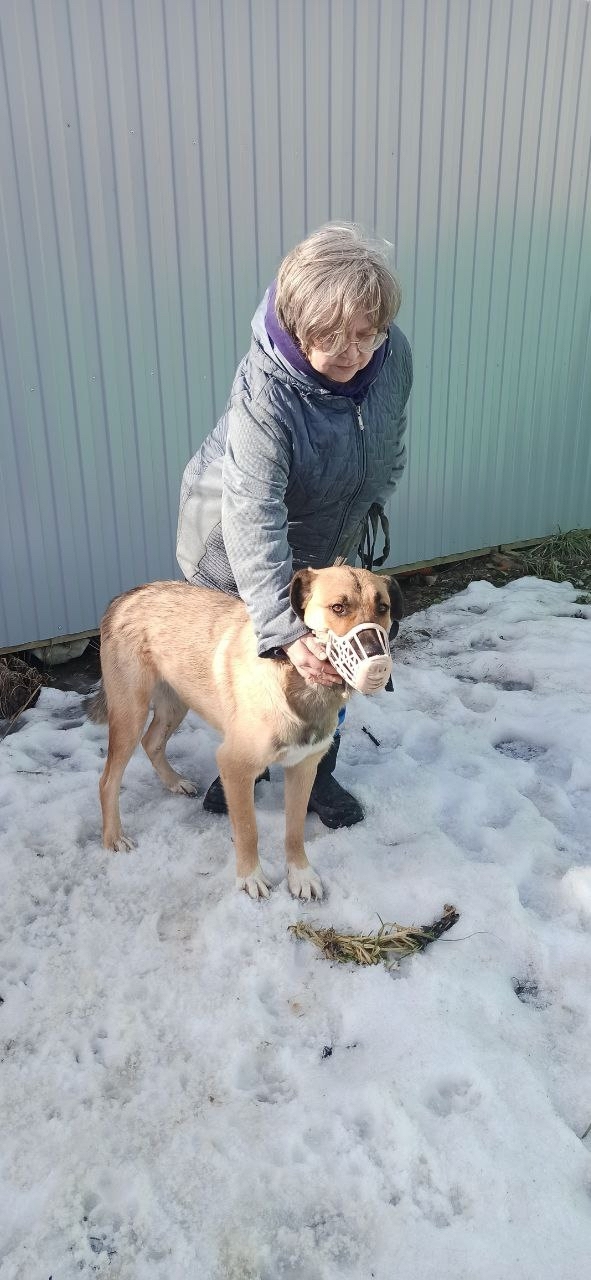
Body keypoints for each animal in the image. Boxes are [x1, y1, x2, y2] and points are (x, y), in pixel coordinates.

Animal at [89, 565, 403, 900]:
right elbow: (248, 831)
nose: (377, 663)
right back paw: (113, 837)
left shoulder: (303, 768)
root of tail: (124, 597)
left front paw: (300, 875)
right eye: (338, 608)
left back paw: (175, 782)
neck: (298, 684)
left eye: (382, 608)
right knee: (108, 780)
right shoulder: (234, 767)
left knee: (152, 742)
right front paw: (251, 878)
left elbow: (295, 830)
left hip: (176, 703)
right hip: (130, 714)